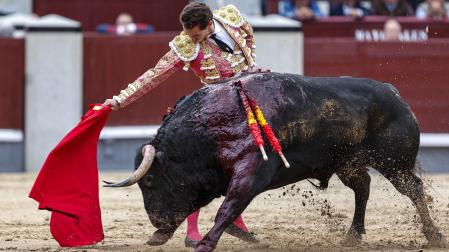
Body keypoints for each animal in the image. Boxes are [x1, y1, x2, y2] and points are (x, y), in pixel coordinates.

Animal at [102, 72, 448, 251]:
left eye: (149, 180)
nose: (157, 224)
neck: (208, 127)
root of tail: (393, 92)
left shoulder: (251, 172)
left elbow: (228, 207)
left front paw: (206, 243)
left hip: (394, 162)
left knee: (414, 189)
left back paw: (433, 236)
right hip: (348, 163)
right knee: (363, 186)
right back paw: (352, 235)